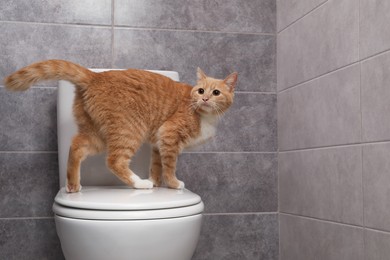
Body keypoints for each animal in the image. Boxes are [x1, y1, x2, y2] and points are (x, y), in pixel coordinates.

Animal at [3, 60, 238, 192]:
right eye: (201, 90)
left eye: (216, 92)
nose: (205, 99)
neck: (203, 114)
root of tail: (95, 76)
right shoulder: (169, 135)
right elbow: (169, 166)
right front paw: (172, 183)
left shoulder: (158, 142)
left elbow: (156, 165)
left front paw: (156, 181)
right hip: (129, 130)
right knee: (114, 160)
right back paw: (139, 183)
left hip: (96, 134)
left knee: (76, 146)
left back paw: (73, 185)